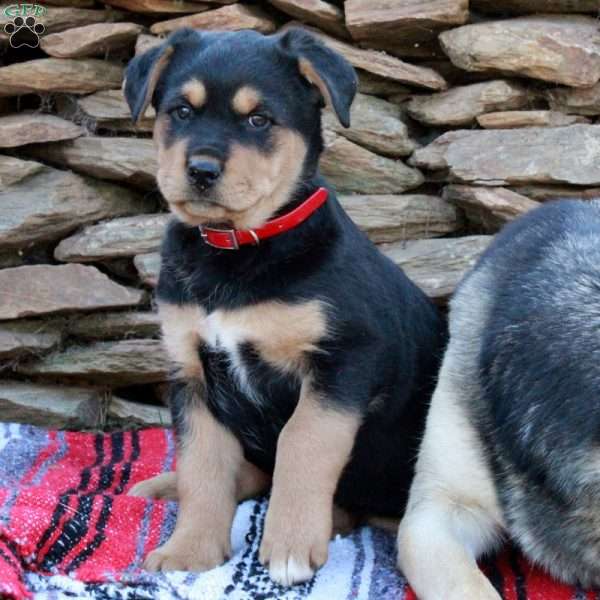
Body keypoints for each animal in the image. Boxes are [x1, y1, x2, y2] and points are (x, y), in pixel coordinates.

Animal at [125, 28, 446, 584]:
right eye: (181, 112)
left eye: (259, 120)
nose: (201, 169)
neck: (236, 251)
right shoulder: (192, 373)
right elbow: (202, 465)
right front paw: (190, 550)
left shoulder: (345, 359)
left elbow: (303, 441)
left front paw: (290, 544)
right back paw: (165, 486)